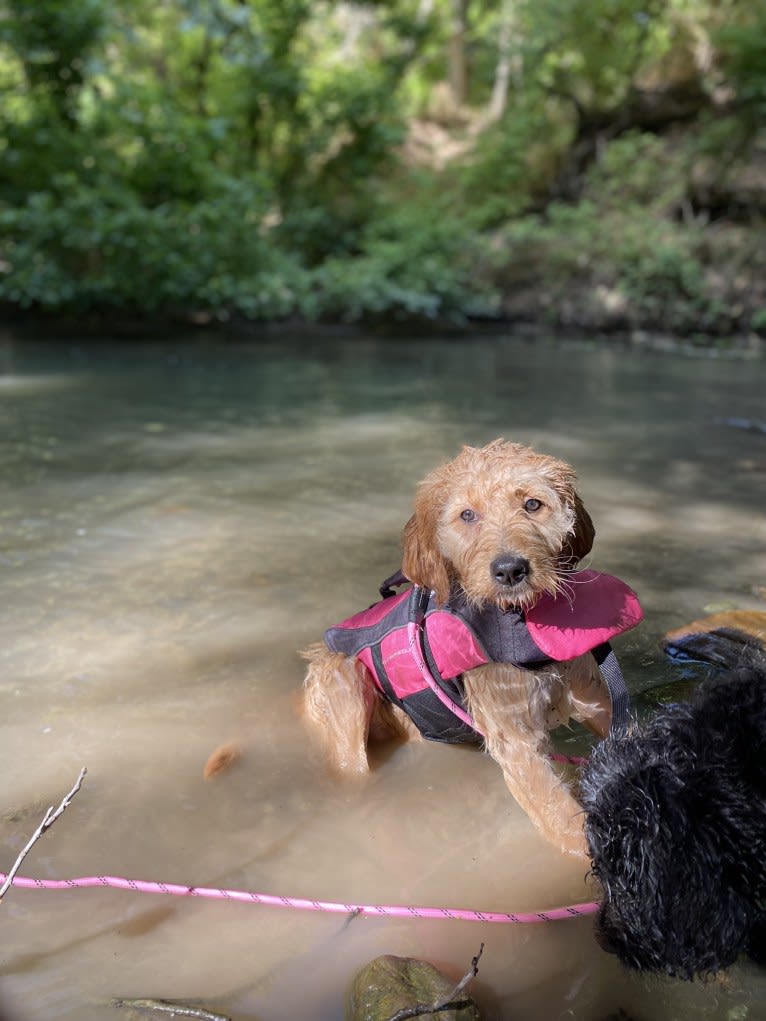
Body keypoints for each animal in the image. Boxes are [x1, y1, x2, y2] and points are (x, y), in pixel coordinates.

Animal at [302, 436, 641, 853]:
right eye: (467, 515)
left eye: (532, 504)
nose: (510, 570)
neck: (520, 624)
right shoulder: (517, 744)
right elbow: (566, 825)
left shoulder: (597, 700)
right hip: (344, 686)